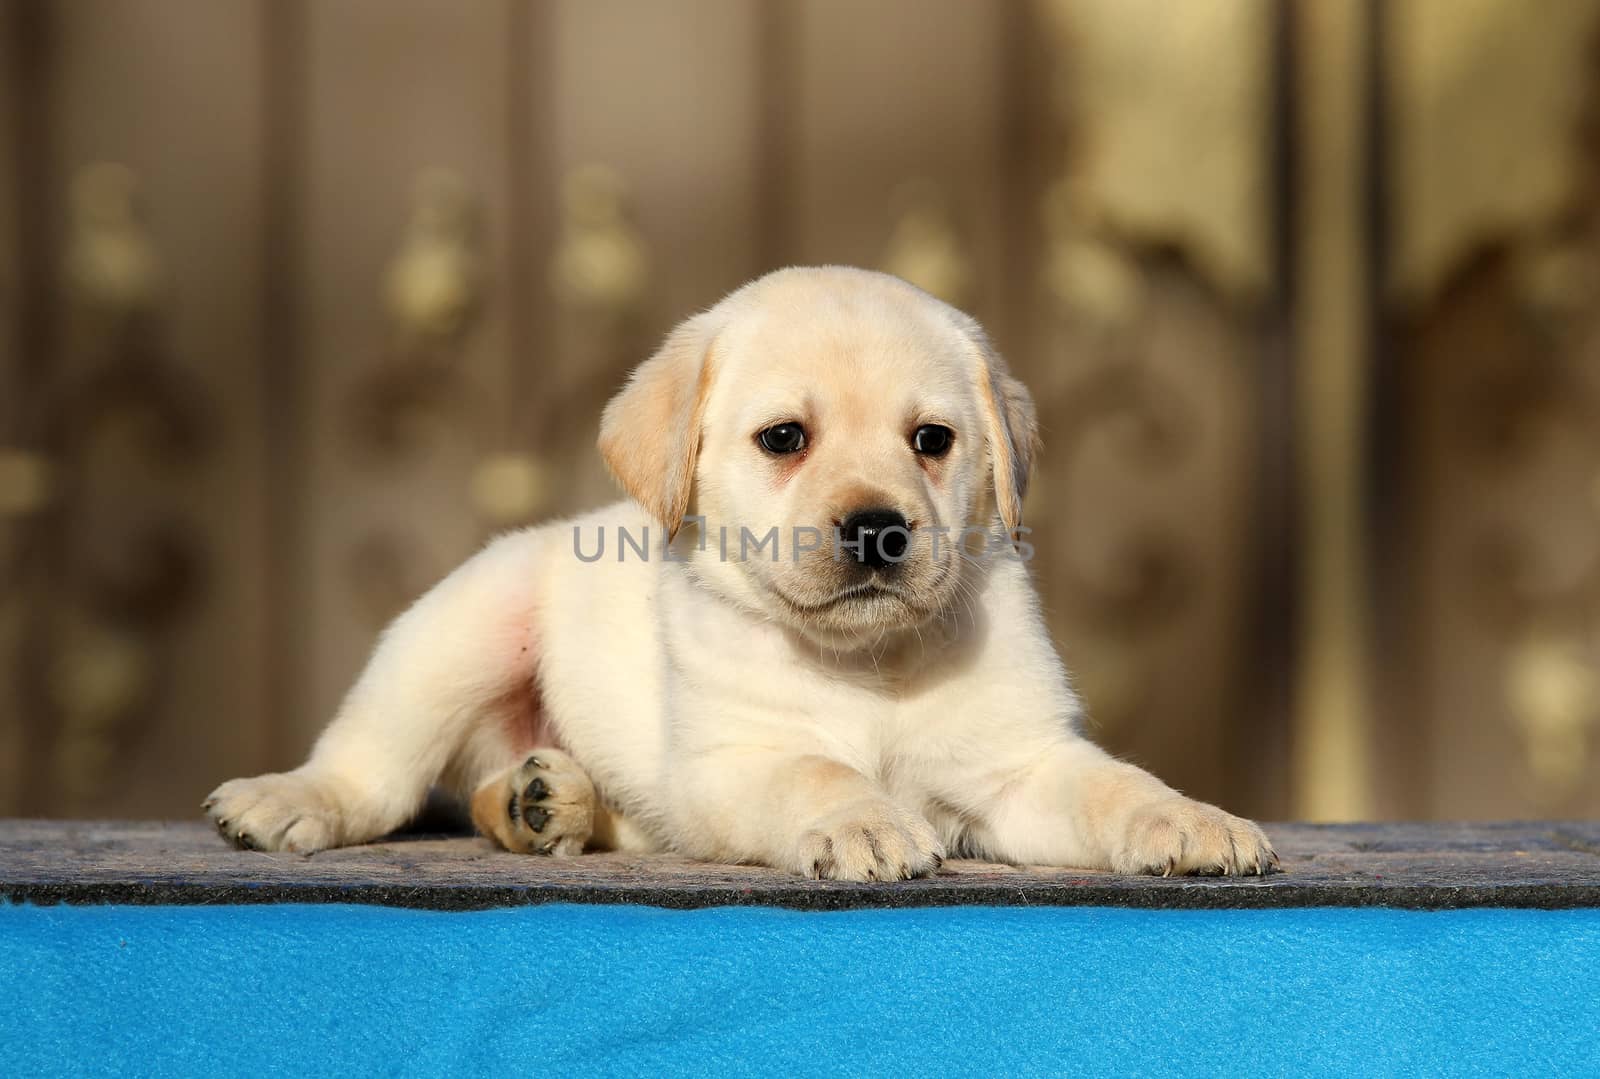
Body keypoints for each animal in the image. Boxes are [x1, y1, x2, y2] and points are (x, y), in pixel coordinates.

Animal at [206, 264, 1280, 877]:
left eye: (932, 440)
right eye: (785, 438)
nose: (880, 529)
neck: (867, 664)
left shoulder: (1020, 764)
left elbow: (1115, 787)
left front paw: (1194, 820)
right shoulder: (734, 759)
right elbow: (816, 769)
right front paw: (865, 822)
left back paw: (543, 802)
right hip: (459, 631)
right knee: (375, 763)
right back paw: (292, 798)